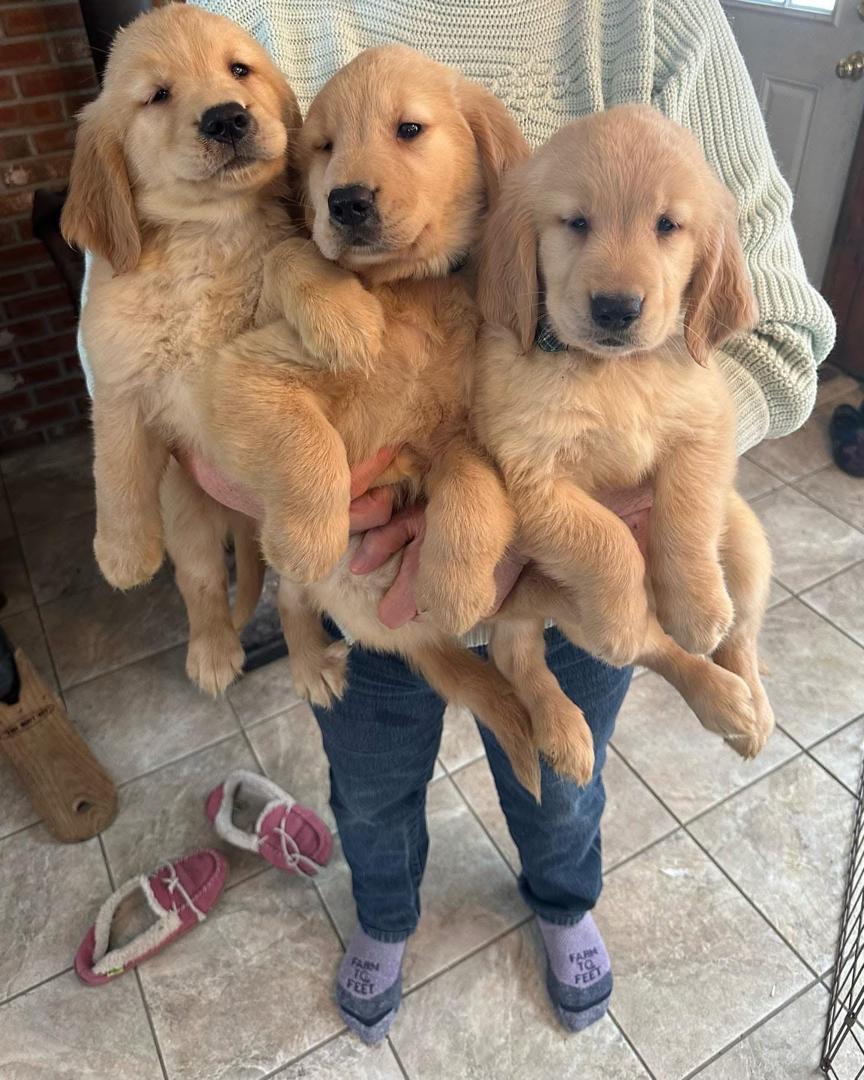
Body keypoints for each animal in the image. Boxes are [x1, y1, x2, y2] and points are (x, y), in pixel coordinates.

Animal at [61, 4, 307, 693]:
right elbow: (115, 466)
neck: (206, 238)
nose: (227, 117)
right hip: (187, 509)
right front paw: (122, 552)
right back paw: (213, 652)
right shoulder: (118, 380)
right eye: (157, 96)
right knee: (201, 581)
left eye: (239, 70)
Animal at [471, 104, 775, 781]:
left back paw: (747, 708)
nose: (616, 308)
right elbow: (605, 541)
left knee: (740, 635)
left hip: (746, 541)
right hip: (560, 610)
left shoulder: (707, 425)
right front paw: (623, 607)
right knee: (621, 649)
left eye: (667, 225)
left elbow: (686, 508)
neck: (614, 373)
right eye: (576, 222)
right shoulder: (527, 474)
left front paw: (696, 606)